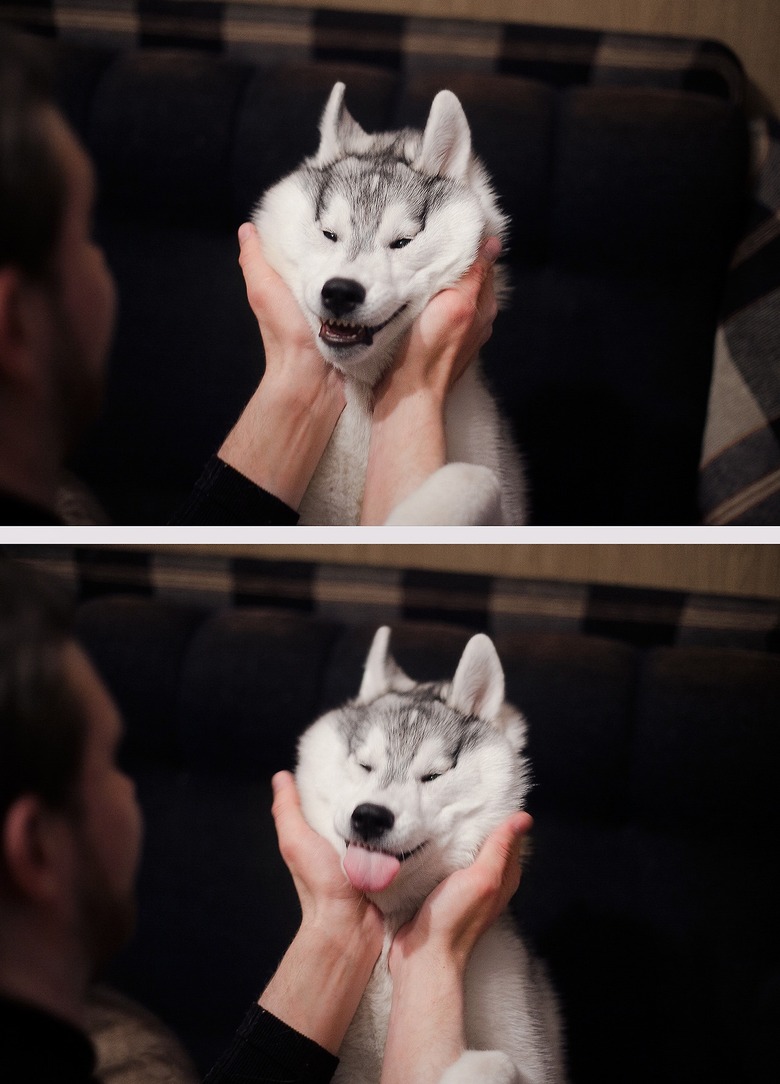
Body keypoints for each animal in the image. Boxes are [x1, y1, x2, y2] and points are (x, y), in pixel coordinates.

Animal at [294, 628, 563, 1084]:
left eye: (433, 775)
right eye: (364, 765)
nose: (370, 817)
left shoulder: (529, 1046)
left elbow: (508, 1066)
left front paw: (479, 1067)